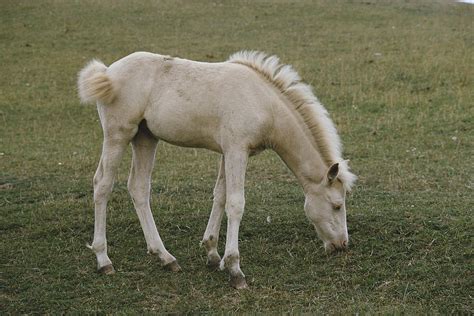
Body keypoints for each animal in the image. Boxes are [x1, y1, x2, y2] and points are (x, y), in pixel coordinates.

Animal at [78, 50, 356, 288]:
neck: (264, 103)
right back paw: (104, 260)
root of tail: (108, 71)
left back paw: (166, 257)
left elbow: (220, 196)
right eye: (337, 205)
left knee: (138, 188)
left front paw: (212, 253)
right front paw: (234, 269)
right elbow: (236, 203)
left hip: (145, 137)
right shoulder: (236, 150)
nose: (342, 244)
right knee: (102, 185)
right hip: (118, 134)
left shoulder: (228, 152)